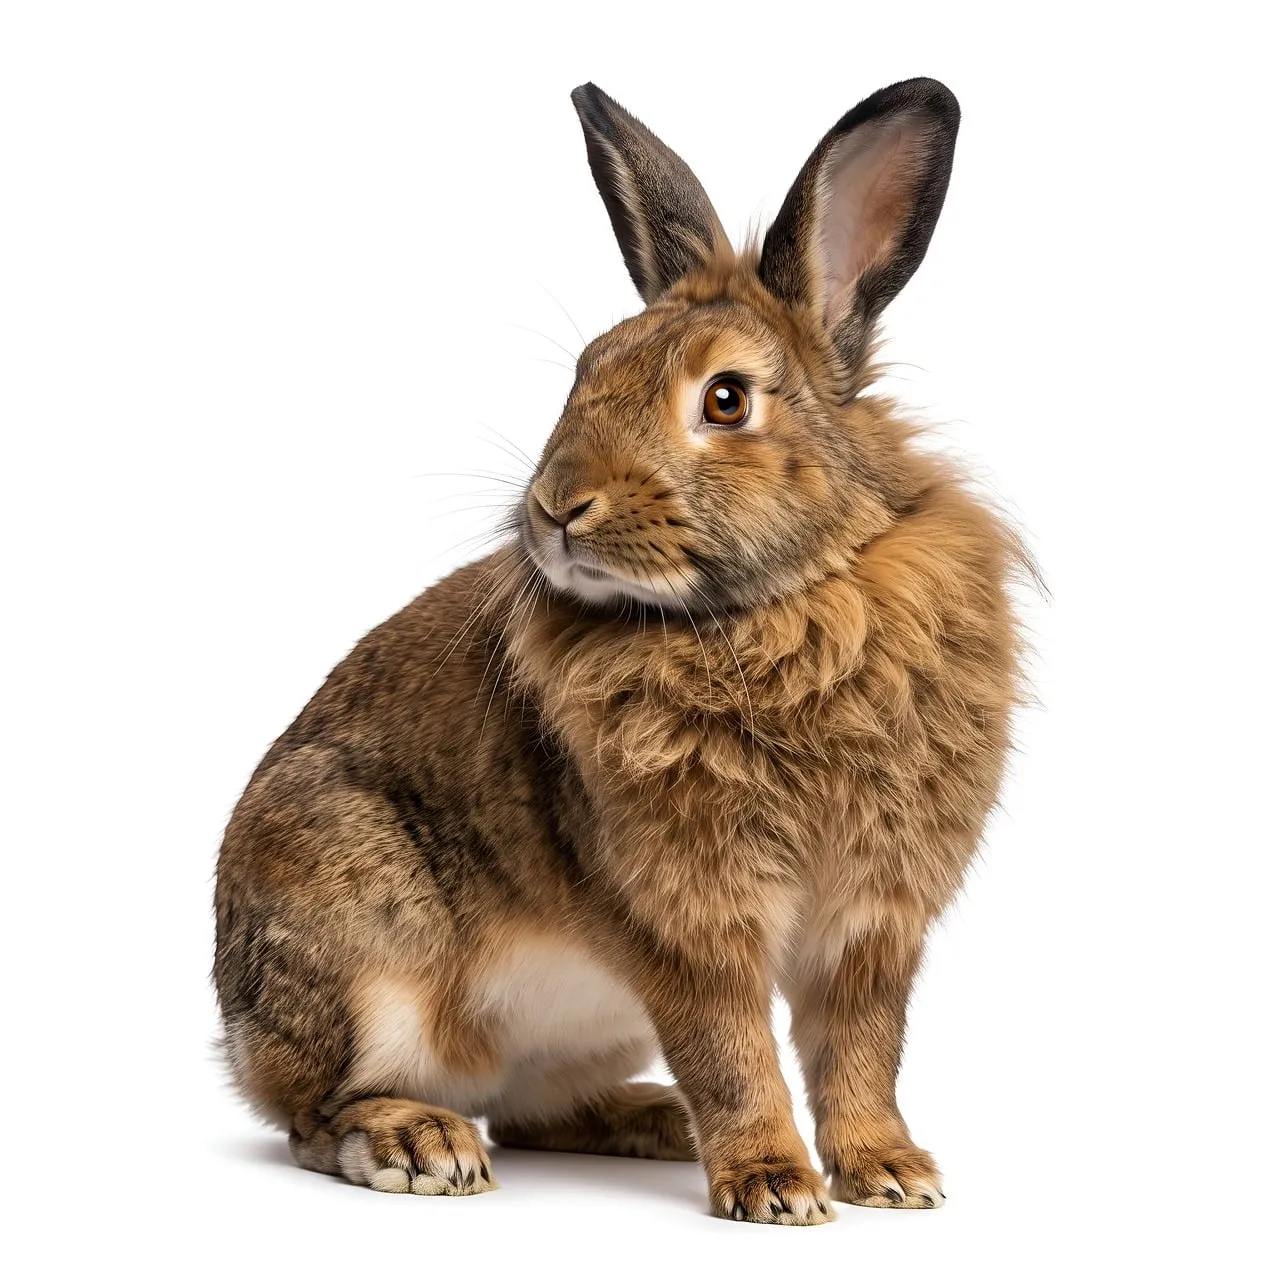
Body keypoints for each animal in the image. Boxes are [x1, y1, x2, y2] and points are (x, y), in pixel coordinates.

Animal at [214, 76, 1028, 1225]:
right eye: (584, 372)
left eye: (725, 399)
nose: (557, 506)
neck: (779, 610)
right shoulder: (687, 922)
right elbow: (733, 1051)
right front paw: (775, 1186)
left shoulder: (870, 925)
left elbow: (860, 1053)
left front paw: (889, 1173)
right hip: (361, 943)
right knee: (315, 1115)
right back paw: (420, 1142)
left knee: (532, 1107)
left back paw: (651, 1121)